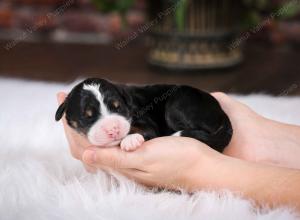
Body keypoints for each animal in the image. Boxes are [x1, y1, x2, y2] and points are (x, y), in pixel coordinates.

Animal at [56, 78, 234, 152]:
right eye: (88, 116)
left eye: (118, 108)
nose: (113, 129)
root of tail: (223, 114)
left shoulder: (147, 121)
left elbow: (144, 129)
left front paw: (130, 140)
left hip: (179, 104)